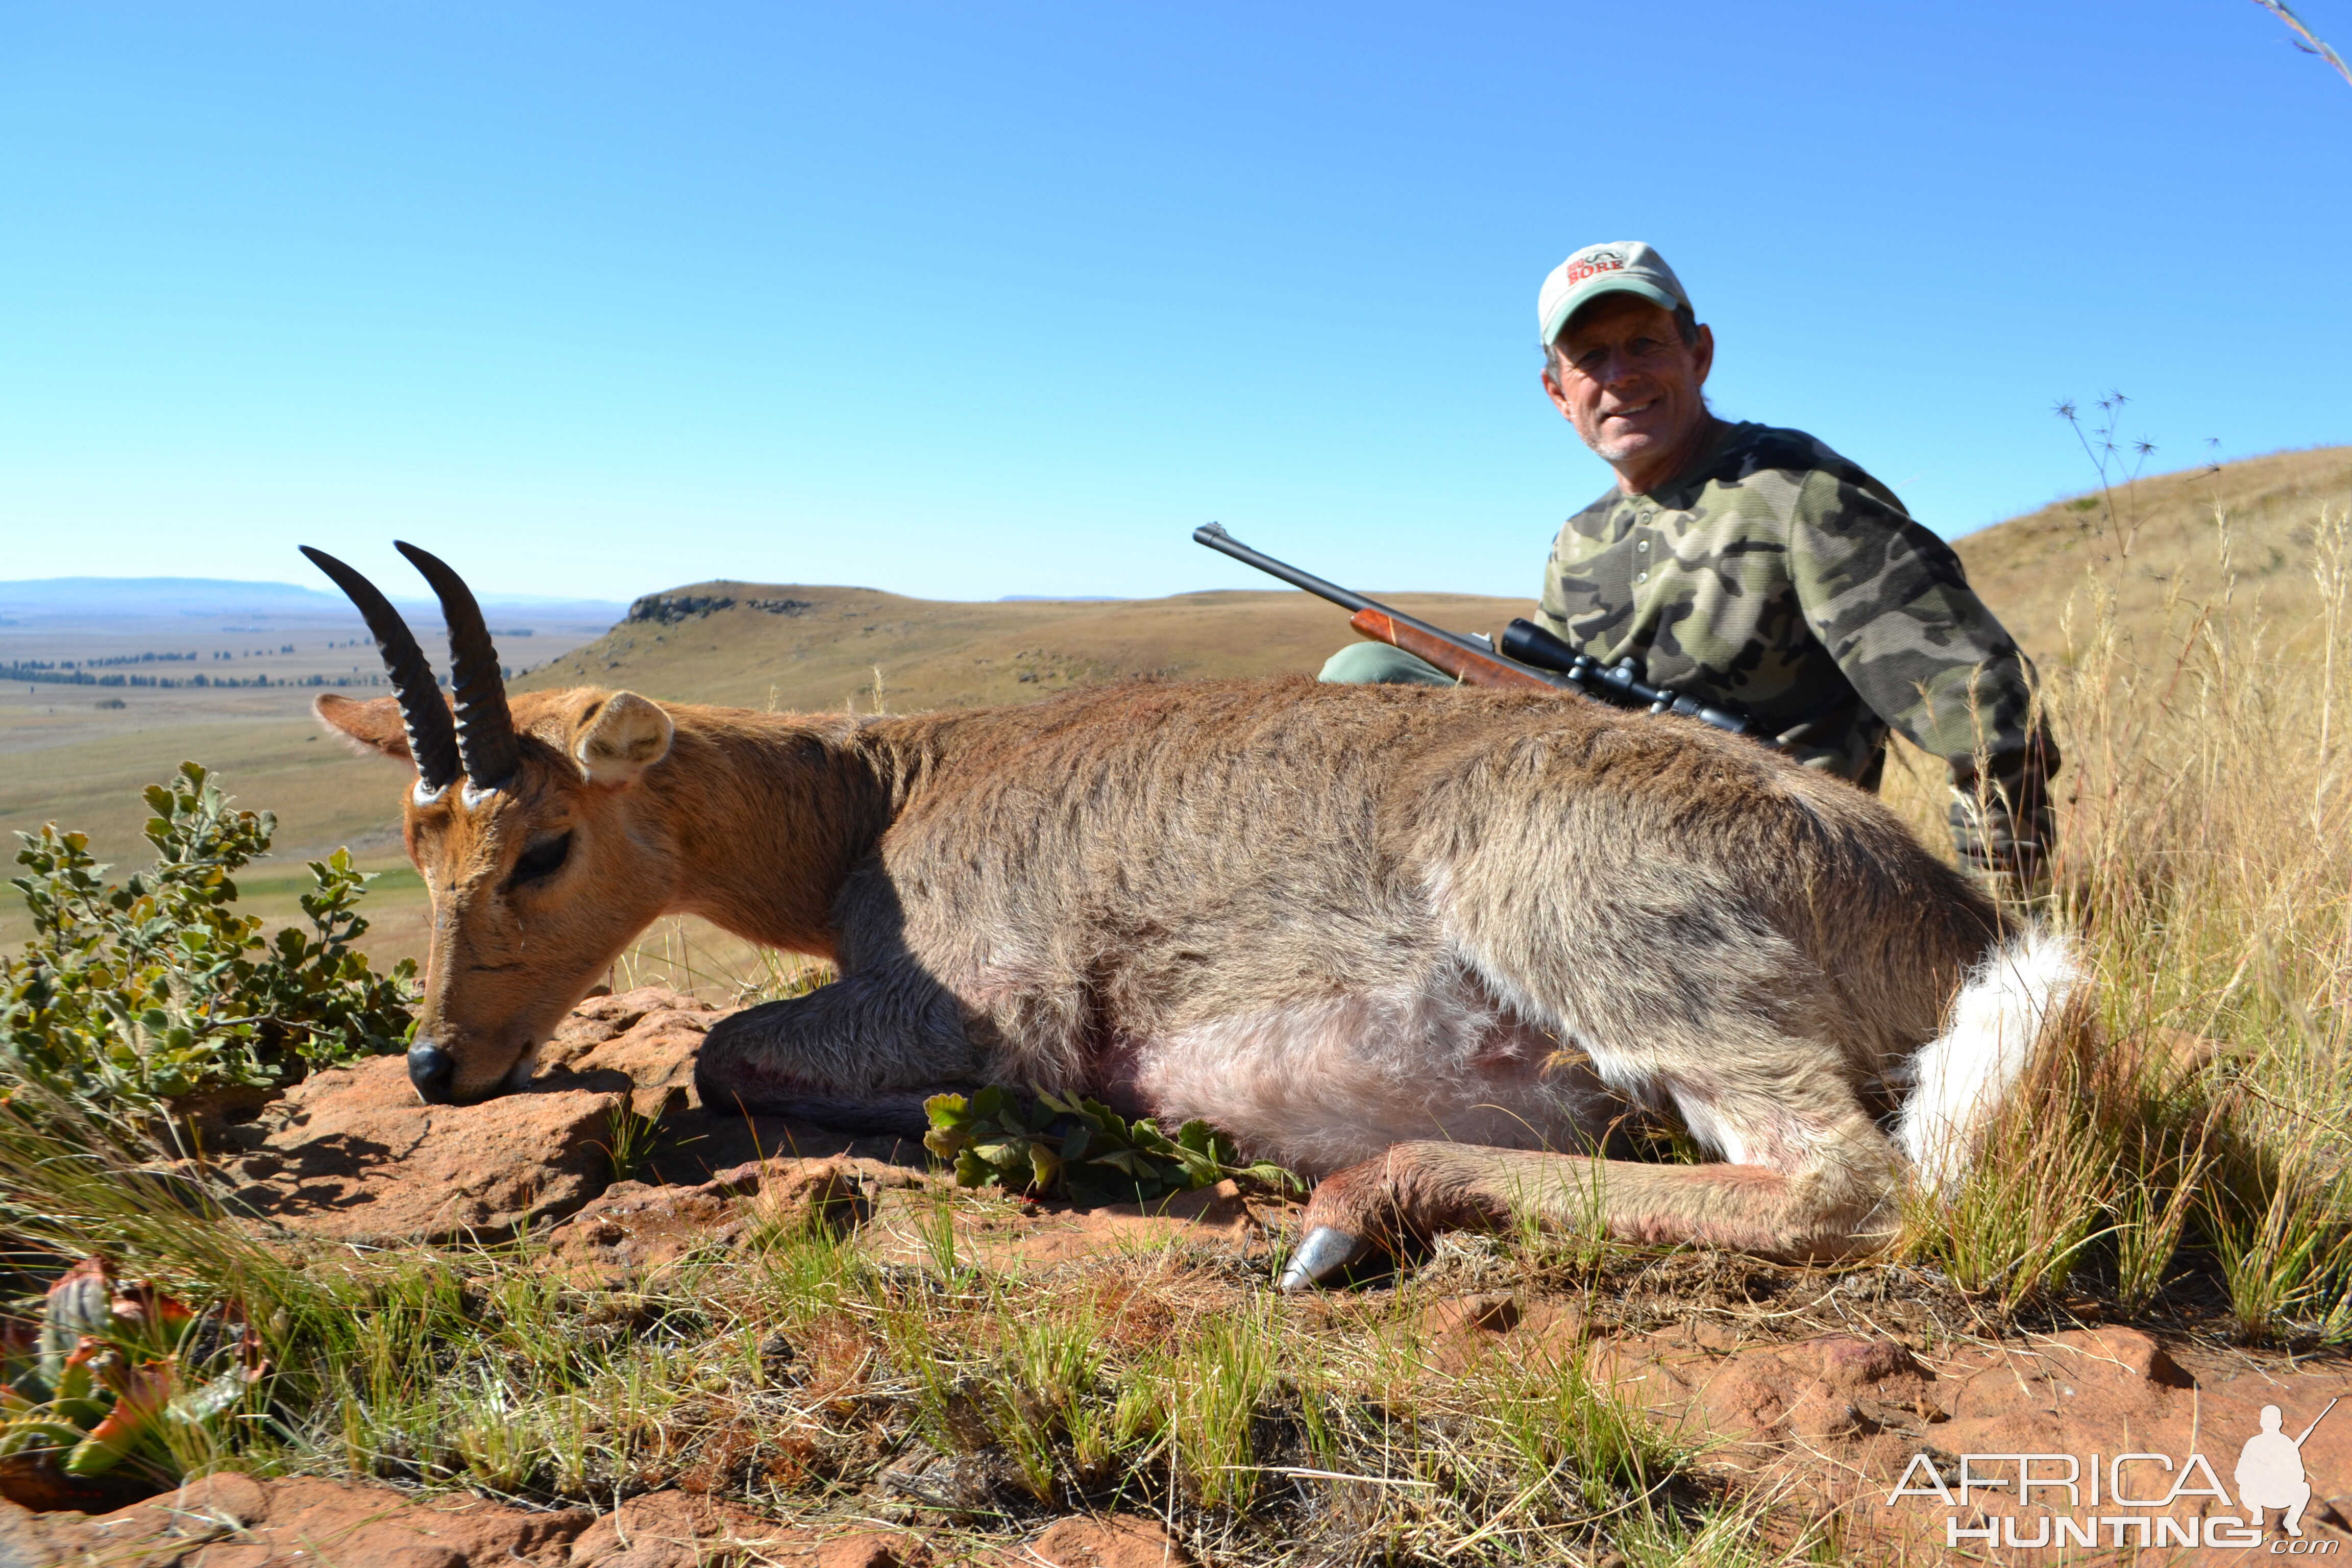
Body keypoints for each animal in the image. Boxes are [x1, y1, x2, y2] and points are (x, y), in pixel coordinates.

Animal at [308, 545, 2079, 1297]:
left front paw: (1041, 1125)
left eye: (541, 844)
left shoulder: (980, 1003)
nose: (437, 1064)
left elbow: (721, 1055)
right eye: (414, 839)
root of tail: (1942, 908)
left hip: (1628, 970)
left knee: (1849, 1184)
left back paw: (1350, 1204)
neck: (879, 790)